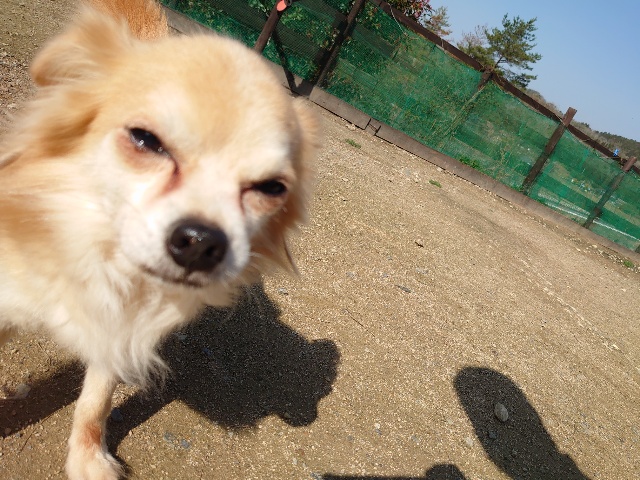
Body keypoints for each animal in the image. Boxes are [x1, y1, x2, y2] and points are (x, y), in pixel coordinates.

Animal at [0, 0, 317, 478]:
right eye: (145, 140)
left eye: (271, 188)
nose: (202, 241)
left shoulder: (120, 325)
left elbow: (96, 400)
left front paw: (87, 459)